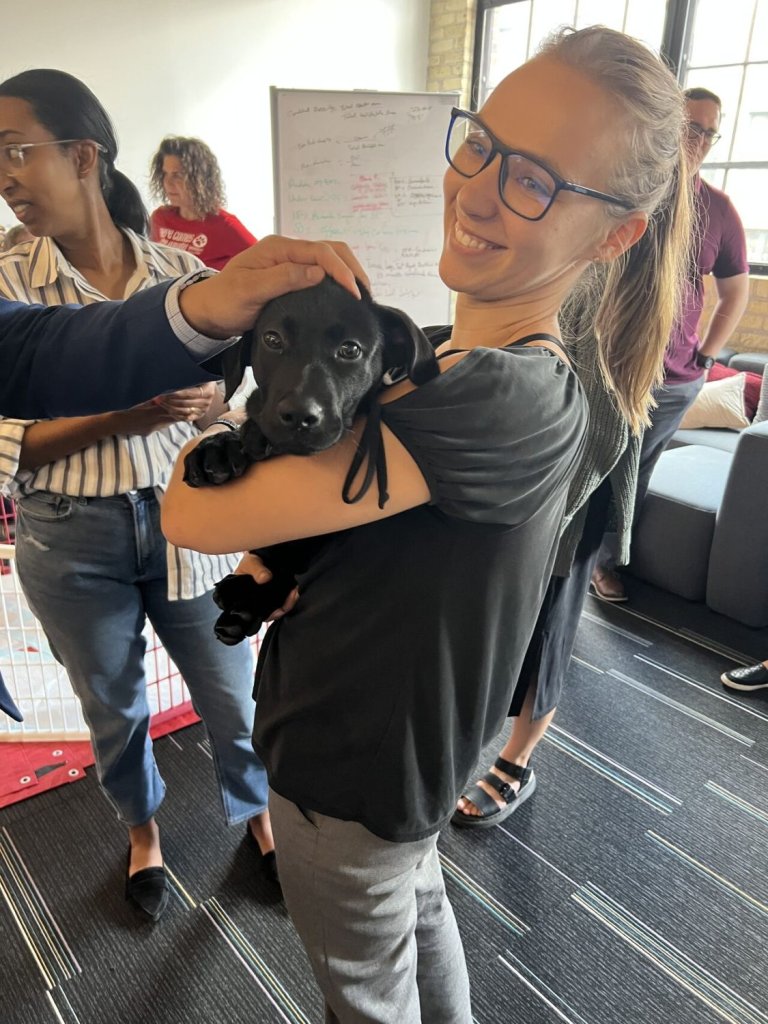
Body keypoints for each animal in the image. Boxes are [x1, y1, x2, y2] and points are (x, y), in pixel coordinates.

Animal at [183, 276, 438, 644]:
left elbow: (288, 563)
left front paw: (251, 601)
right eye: (272, 339)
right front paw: (218, 447)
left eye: (350, 349)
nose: (300, 416)